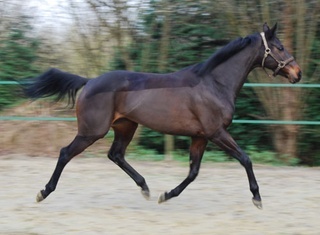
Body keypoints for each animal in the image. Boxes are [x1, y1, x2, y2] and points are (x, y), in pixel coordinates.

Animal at [24, 23, 300, 208]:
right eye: (279, 47)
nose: (297, 73)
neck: (214, 83)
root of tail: (90, 81)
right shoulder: (217, 133)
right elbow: (246, 159)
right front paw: (257, 198)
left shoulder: (200, 137)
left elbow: (193, 172)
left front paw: (165, 195)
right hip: (92, 131)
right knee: (65, 153)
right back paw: (43, 192)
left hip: (126, 126)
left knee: (116, 154)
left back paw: (145, 188)